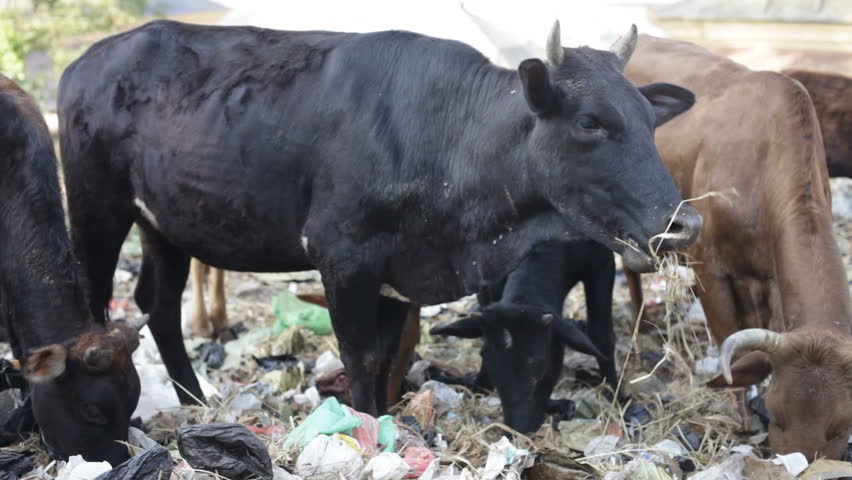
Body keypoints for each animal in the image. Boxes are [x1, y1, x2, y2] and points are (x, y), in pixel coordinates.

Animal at [431, 239, 615, 433]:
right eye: (484, 356)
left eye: (540, 362)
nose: (518, 429)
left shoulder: (602, 261)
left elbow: (602, 336)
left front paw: (615, 396)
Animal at [624, 35, 852, 460]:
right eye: (778, 415)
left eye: (841, 427)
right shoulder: (709, 270)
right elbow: (728, 336)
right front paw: (742, 416)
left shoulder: (768, 279)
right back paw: (638, 323)